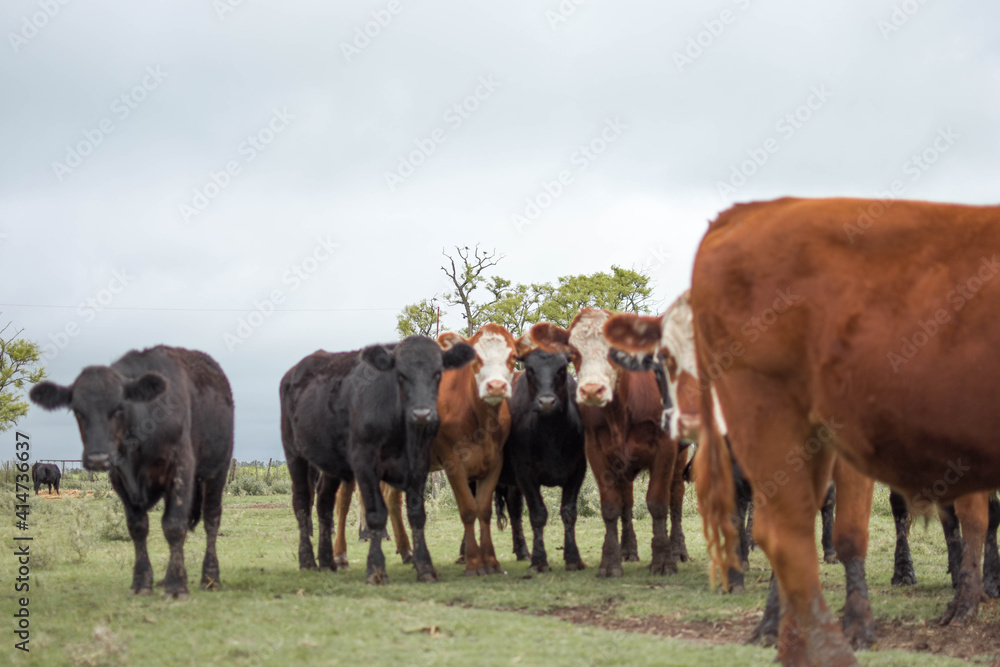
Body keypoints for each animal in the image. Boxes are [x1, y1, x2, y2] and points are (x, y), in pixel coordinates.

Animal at [28, 348, 234, 596]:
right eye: (77, 410)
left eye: (119, 407)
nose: (98, 458)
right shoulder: (120, 480)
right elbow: (138, 527)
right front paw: (143, 582)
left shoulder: (181, 468)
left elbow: (174, 524)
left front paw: (176, 585)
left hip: (217, 470)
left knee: (211, 519)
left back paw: (210, 578)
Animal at [278, 336, 472, 580]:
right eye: (401, 374)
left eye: (438, 373)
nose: (422, 413)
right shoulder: (364, 464)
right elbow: (376, 513)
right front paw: (376, 569)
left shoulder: (420, 464)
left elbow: (417, 514)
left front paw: (426, 567)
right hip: (294, 452)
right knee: (303, 500)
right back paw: (307, 560)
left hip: (331, 463)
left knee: (324, 501)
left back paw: (327, 560)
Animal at [498, 348, 588, 572]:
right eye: (530, 369)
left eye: (562, 368)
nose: (547, 402)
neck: (551, 434)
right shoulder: (525, 472)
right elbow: (538, 514)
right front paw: (539, 561)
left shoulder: (577, 470)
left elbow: (568, 512)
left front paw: (573, 558)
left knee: (514, 509)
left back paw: (522, 551)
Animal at [532, 310, 680, 576]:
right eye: (574, 352)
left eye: (615, 351)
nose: (592, 390)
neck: (619, 412)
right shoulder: (597, 452)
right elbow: (611, 507)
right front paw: (610, 562)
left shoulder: (665, 448)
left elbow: (658, 503)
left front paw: (663, 560)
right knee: (627, 503)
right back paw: (628, 550)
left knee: (676, 498)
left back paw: (677, 550)